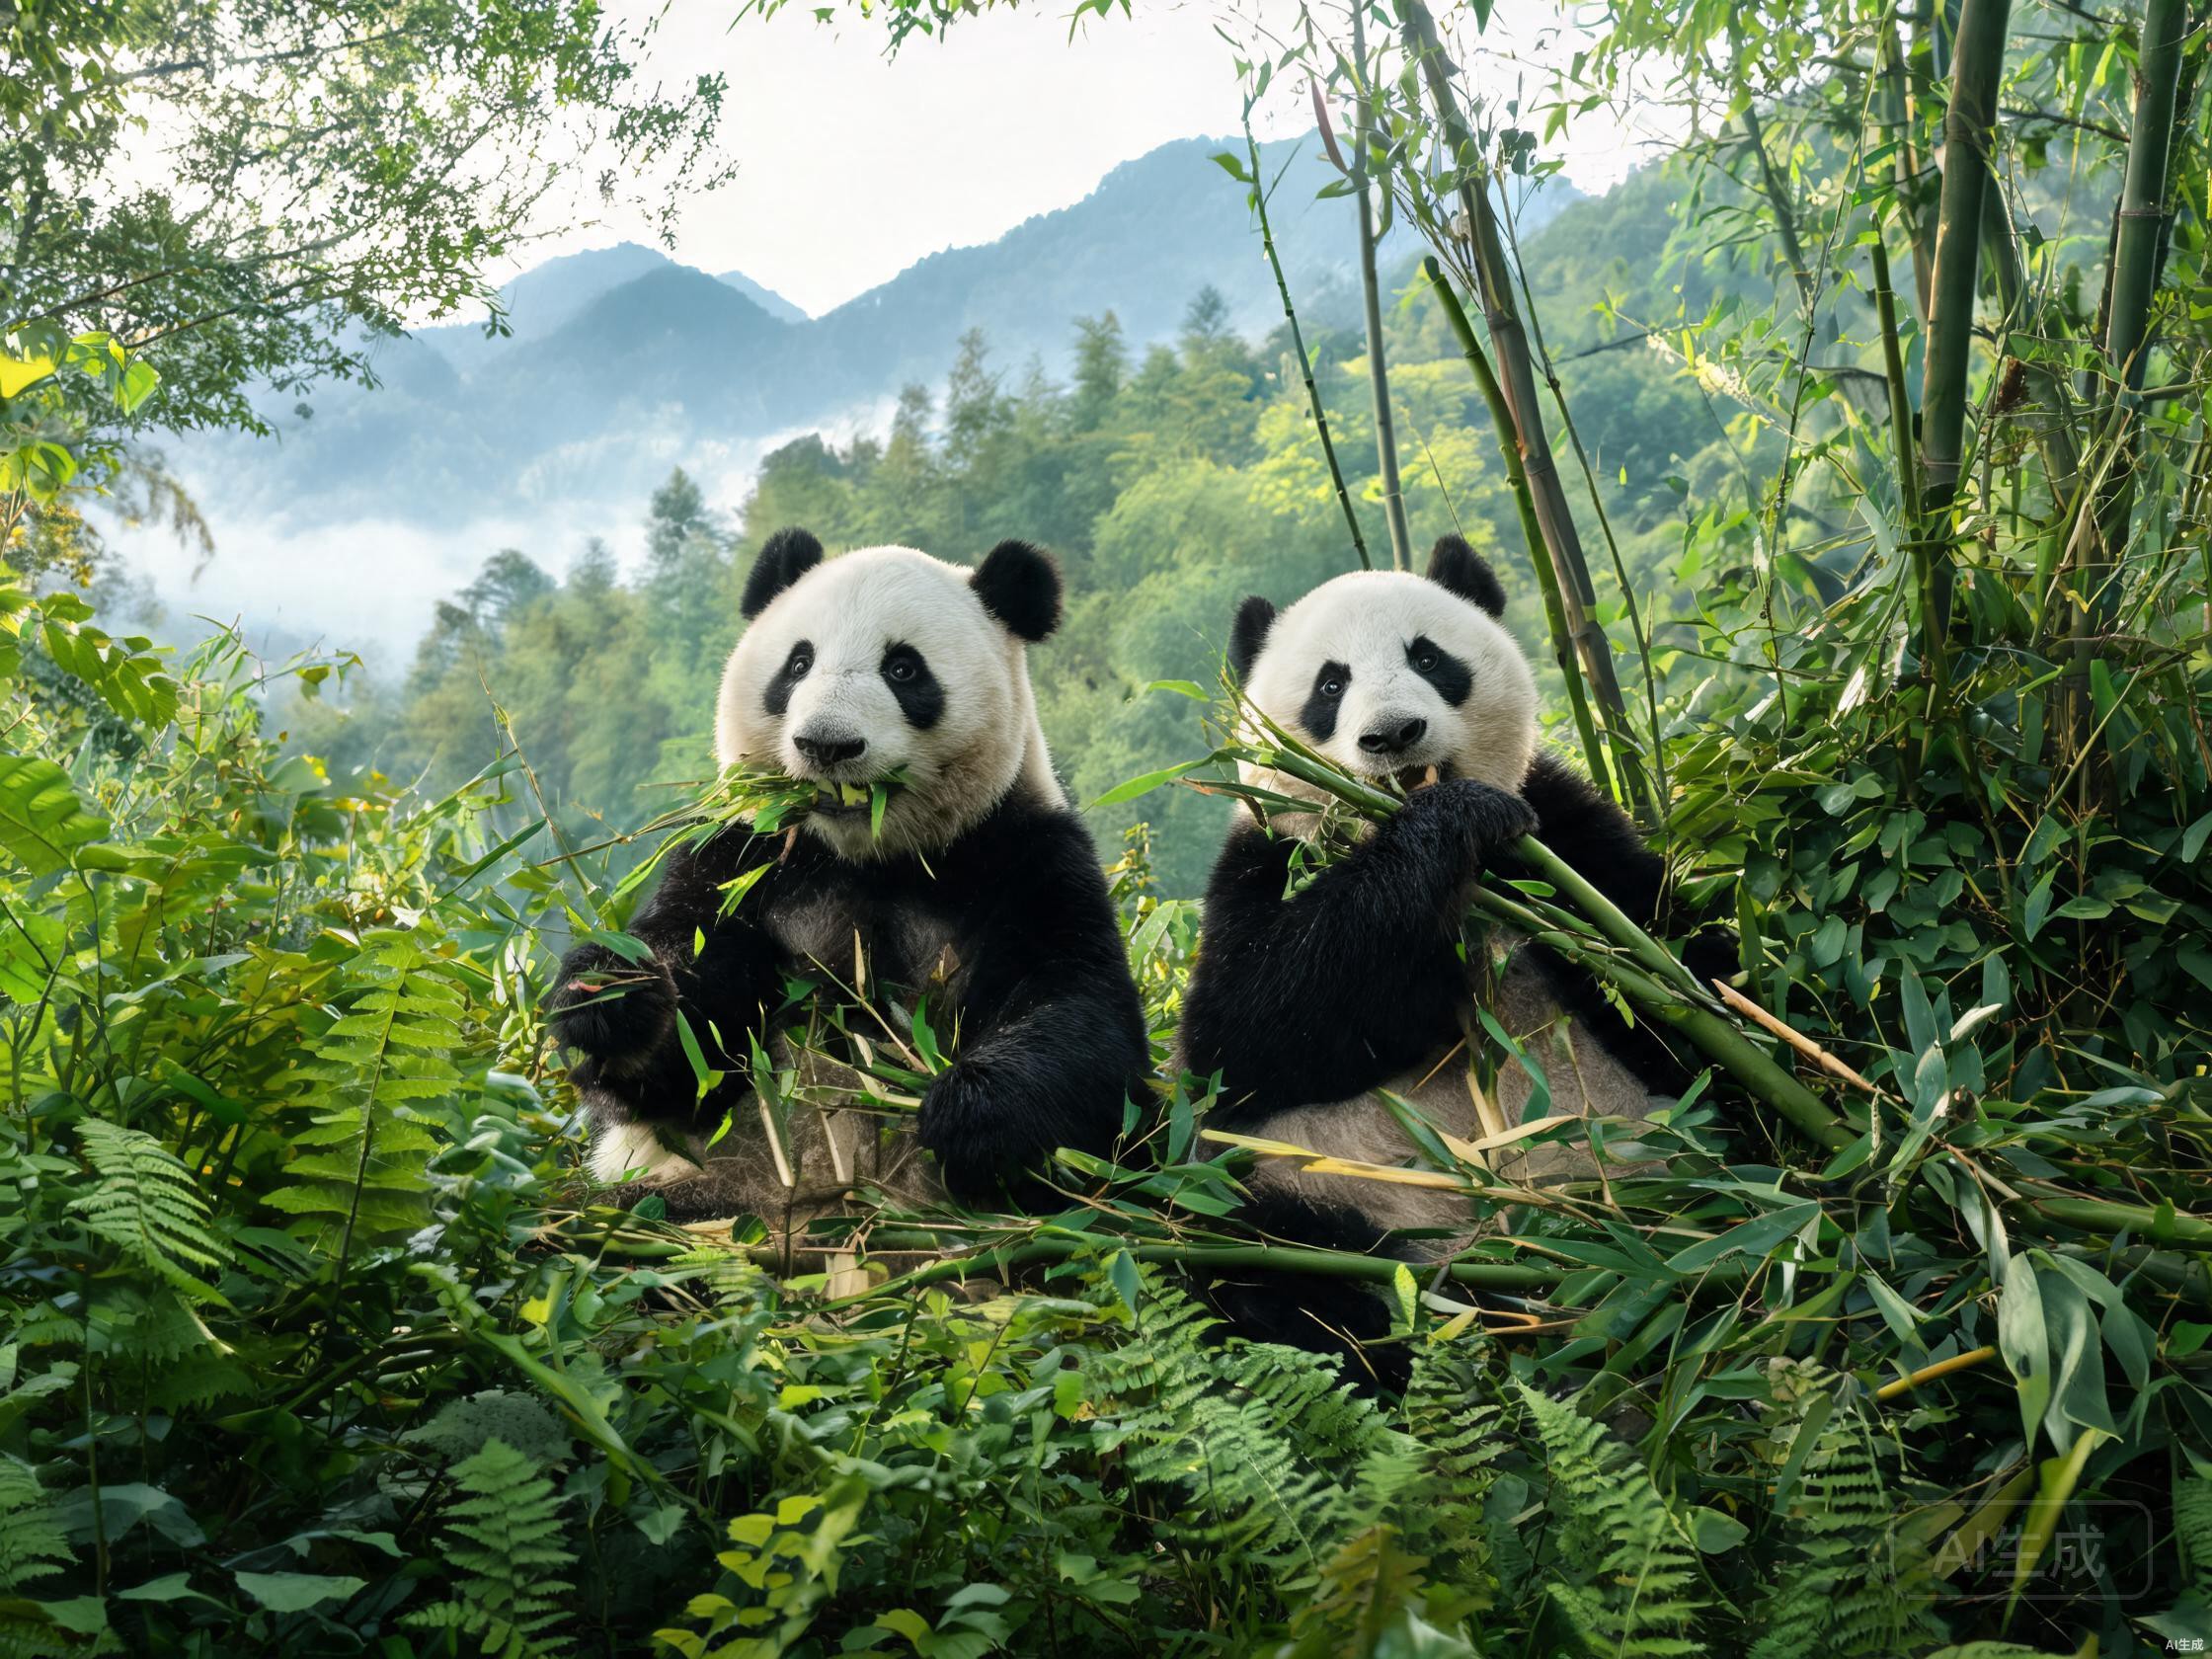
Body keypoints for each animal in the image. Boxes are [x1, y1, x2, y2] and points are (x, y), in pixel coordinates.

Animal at [547, 529, 1153, 1222]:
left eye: (903, 669)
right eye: (798, 664)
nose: (826, 744)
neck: (867, 854)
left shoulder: (1026, 855)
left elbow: (1081, 1017)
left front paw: (966, 1111)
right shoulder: (741, 858)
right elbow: (688, 1043)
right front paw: (611, 998)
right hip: (703, 1192)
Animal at [1179, 534, 1724, 1380]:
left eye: (1429, 658)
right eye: (1330, 684)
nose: (1392, 735)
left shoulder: (1560, 829)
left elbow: (1661, 946)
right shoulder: (1263, 863)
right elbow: (1247, 1038)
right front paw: (1449, 821)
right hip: (1325, 1195)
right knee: (1266, 1266)